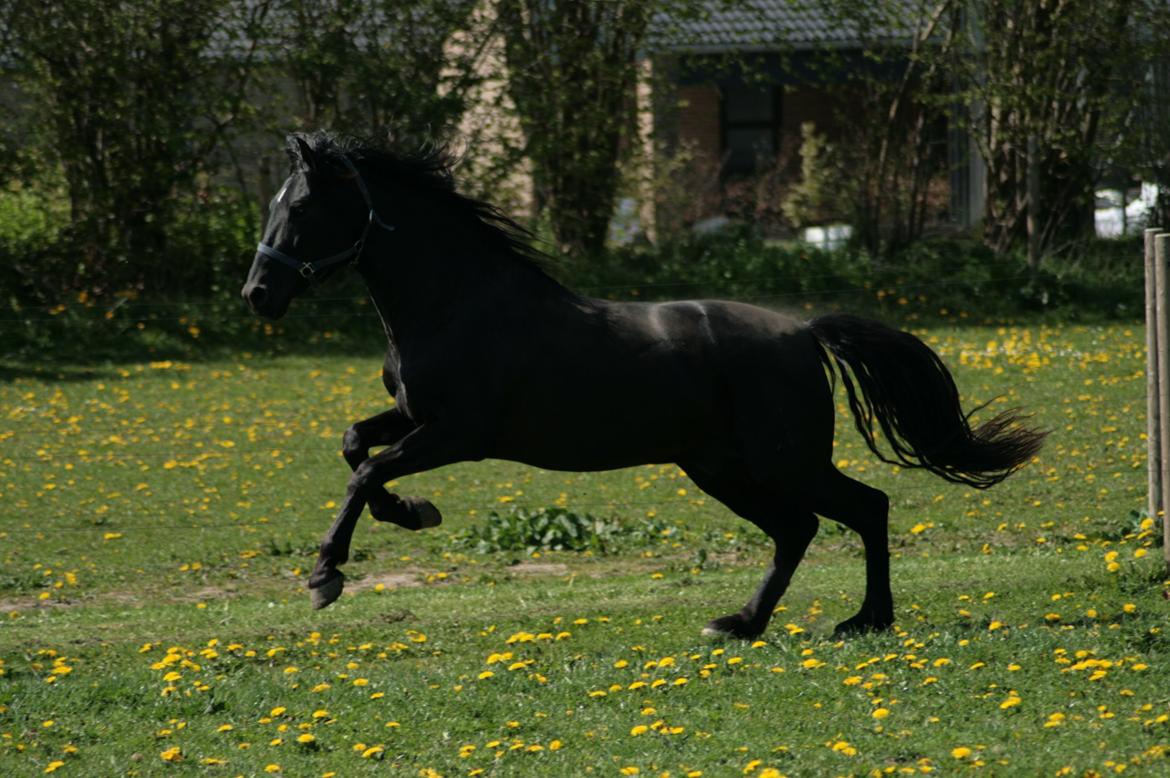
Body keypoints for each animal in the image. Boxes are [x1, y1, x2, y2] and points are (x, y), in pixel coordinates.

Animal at [242, 132, 1048, 636]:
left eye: (302, 207)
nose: (258, 294)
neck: (456, 302)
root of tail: (804, 333)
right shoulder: (415, 417)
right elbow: (356, 447)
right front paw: (413, 514)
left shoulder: (458, 434)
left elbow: (365, 470)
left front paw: (326, 575)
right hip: (719, 468)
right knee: (799, 529)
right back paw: (742, 625)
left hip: (781, 460)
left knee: (864, 508)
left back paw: (864, 620)